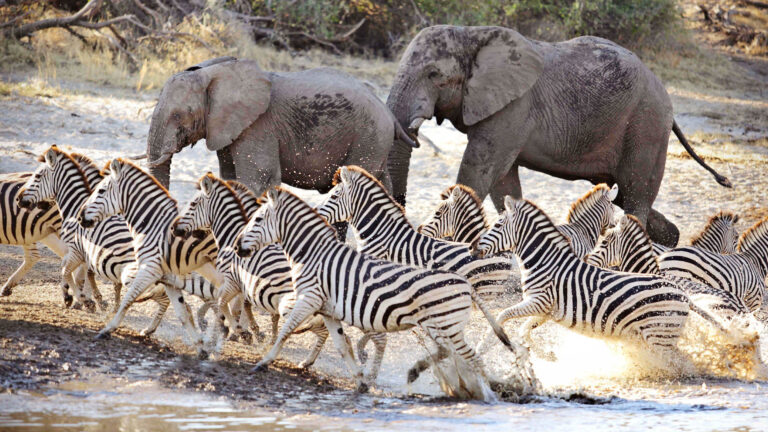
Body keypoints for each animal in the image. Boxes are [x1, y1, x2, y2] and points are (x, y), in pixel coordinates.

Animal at [77, 158, 225, 357]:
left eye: (100, 191)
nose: (80, 217)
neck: (152, 225)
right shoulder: (169, 278)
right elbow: (182, 313)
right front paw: (200, 347)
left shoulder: (150, 269)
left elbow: (129, 298)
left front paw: (108, 329)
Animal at [143, 56, 417, 198]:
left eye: (178, 115)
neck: (213, 71)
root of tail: (389, 114)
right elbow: (231, 177)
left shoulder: (258, 126)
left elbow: (257, 178)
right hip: (375, 142)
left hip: (369, 137)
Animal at [235, 187, 533, 399]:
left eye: (258, 219)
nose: (237, 247)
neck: (313, 254)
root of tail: (465, 284)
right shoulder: (328, 309)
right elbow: (342, 346)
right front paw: (360, 381)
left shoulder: (310, 297)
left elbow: (287, 329)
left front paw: (264, 361)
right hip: (441, 326)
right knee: (449, 353)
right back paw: (423, 374)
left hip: (446, 325)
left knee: (471, 357)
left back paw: (486, 395)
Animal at [386, 25, 731, 247]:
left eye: (434, 75)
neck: (471, 35)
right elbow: (502, 181)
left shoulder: (514, 105)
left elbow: (480, 168)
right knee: (625, 193)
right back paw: (672, 238)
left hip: (647, 123)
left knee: (636, 192)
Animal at [472, 195, 726, 358]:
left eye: (498, 224)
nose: (474, 247)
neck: (546, 262)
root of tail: (682, 294)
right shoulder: (545, 309)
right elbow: (524, 329)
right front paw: (546, 355)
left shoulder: (539, 301)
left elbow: (502, 316)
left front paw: (486, 346)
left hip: (659, 337)